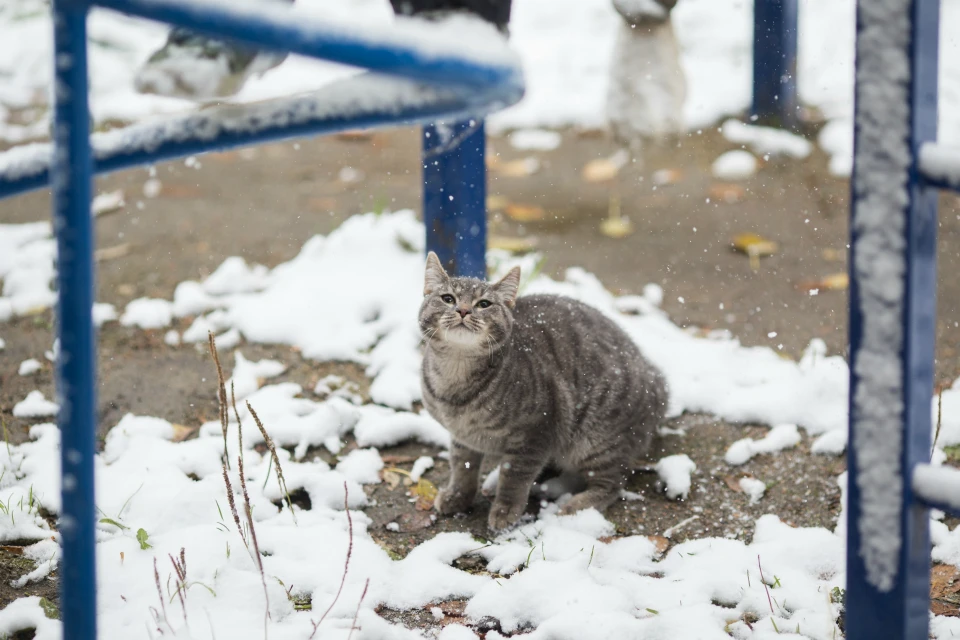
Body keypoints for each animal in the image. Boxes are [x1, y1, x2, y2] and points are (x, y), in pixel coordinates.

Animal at [420, 251, 668, 528]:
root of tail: (655, 379)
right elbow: (462, 467)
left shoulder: (535, 433)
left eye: (484, 304)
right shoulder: (462, 437)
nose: (463, 310)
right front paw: (457, 496)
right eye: (448, 298)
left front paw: (505, 510)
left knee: (613, 482)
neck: (455, 378)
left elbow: (514, 477)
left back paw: (574, 506)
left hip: (595, 440)